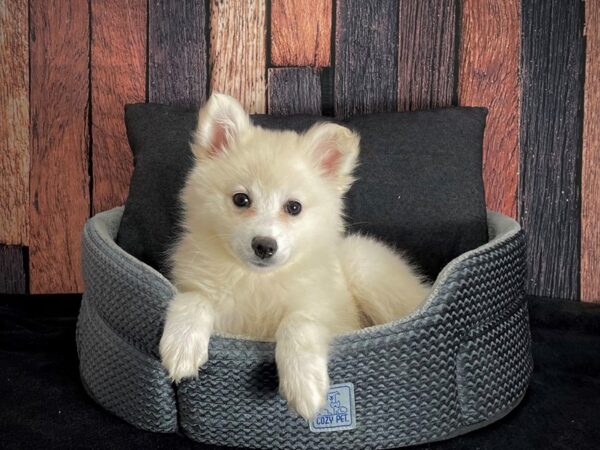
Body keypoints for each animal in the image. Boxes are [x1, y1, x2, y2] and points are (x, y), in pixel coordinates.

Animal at [159, 93, 432, 420]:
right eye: (241, 199)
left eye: (293, 207)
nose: (264, 246)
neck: (257, 282)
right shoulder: (197, 287)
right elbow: (194, 298)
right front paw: (182, 344)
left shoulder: (331, 313)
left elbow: (298, 322)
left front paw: (304, 385)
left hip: (364, 267)